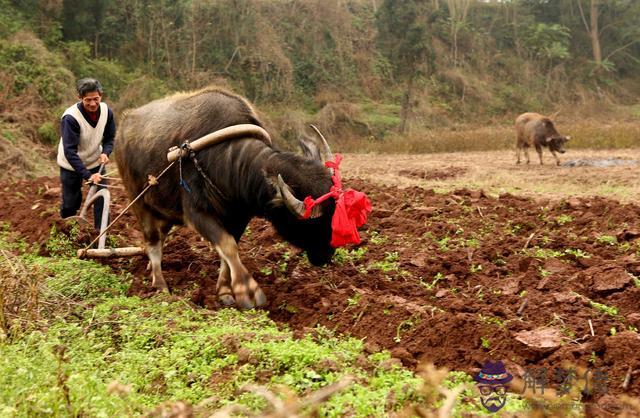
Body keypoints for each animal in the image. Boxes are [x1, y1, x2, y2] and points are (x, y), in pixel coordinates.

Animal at [118, 86, 342, 308]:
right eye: (312, 223)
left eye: (335, 214)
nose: (326, 256)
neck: (227, 159)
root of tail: (124, 123)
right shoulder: (196, 213)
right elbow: (228, 246)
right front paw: (247, 291)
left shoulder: (239, 217)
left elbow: (229, 251)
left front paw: (225, 291)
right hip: (138, 202)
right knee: (153, 242)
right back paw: (160, 284)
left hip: (164, 209)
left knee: (160, 236)